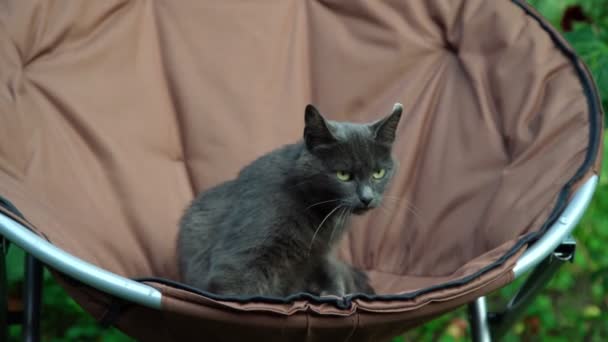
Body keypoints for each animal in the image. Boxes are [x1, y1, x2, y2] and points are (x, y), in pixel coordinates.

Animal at [178, 103, 402, 298]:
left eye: (378, 173)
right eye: (343, 175)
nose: (367, 198)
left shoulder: (321, 254)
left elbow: (331, 275)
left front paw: (332, 294)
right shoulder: (238, 262)